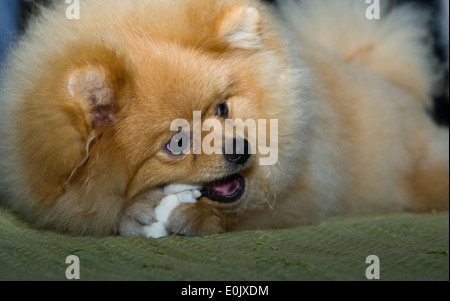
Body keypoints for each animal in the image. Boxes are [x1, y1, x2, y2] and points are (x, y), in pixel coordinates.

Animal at [0, 0, 448, 237]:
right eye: (177, 143)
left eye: (222, 108)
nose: (240, 149)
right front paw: (134, 214)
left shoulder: (303, 190)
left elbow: (248, 215)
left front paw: (199, 217)